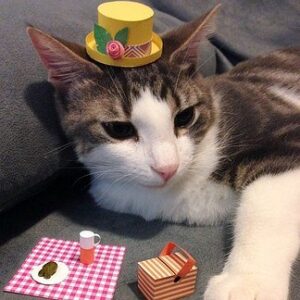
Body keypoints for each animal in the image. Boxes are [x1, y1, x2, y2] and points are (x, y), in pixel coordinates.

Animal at [27, 4, 298, 300]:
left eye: (185, 116)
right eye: (119, 129)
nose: (168, 167)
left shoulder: (275, 123)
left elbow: (267, 203)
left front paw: (247, 283)